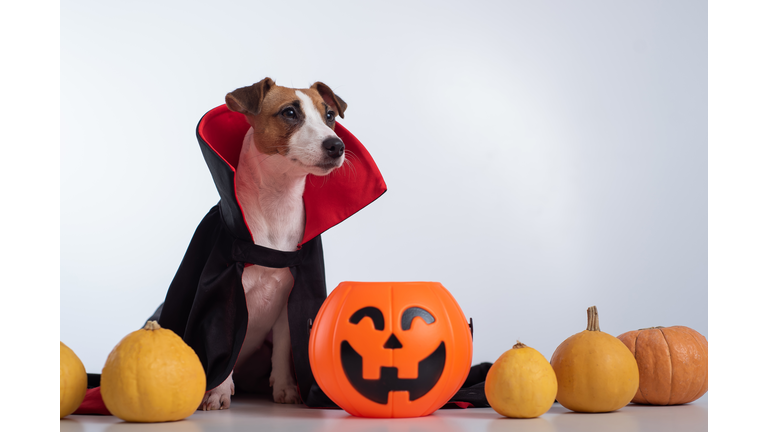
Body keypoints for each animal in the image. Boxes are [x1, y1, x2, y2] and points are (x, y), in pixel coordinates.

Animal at [200, 76, 346, 410]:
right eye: (289, 112)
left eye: (330, 115)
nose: (336, 145)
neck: (277, 203)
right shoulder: (230, 295)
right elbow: (226, 346)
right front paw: (218, 391)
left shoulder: (286, 301)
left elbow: (282, 348)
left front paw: (285, 388)